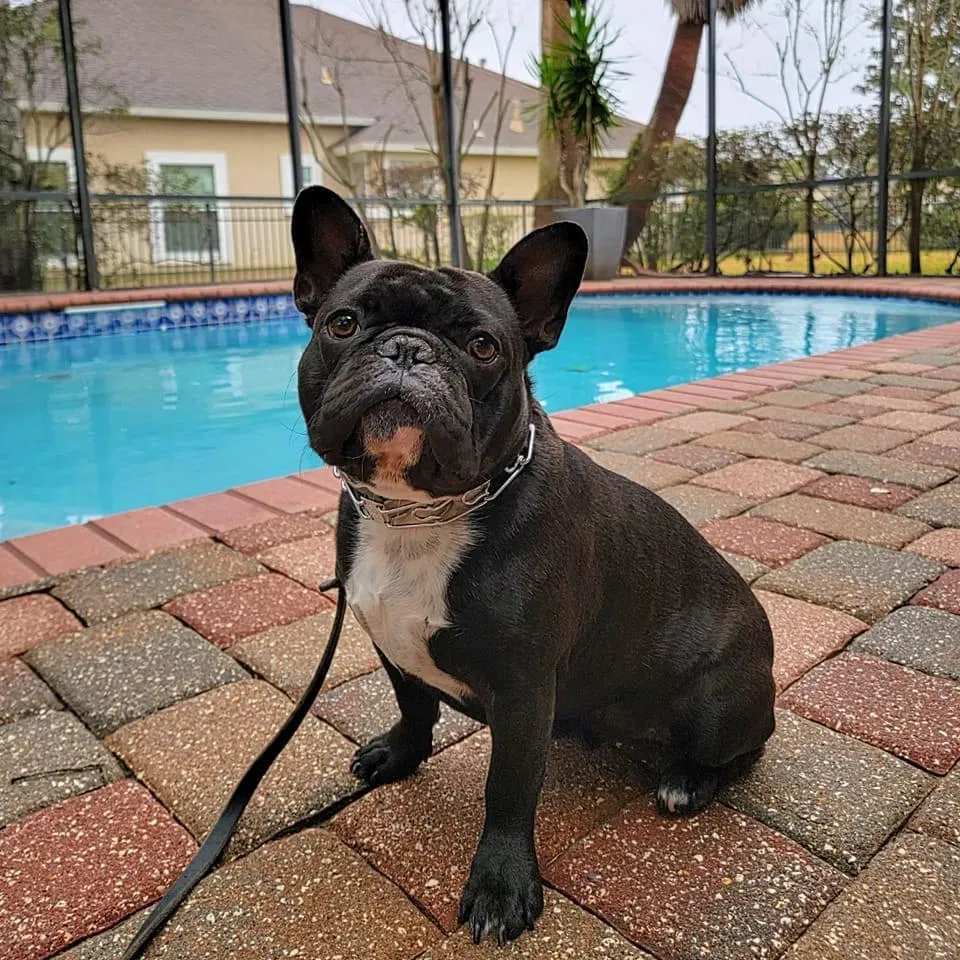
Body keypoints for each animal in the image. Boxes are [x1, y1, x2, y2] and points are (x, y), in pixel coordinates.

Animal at [290, 186, 772, 944]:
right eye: (342, 324)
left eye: (483, 346)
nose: (406, 348)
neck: (418, 513)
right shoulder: (392, 642)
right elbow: (414, 706)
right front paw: (399, 754)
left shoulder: (522, 690)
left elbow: (509, 790)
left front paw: (500, 885)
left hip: (718, 702)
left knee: (741, 748)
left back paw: (687, 780)